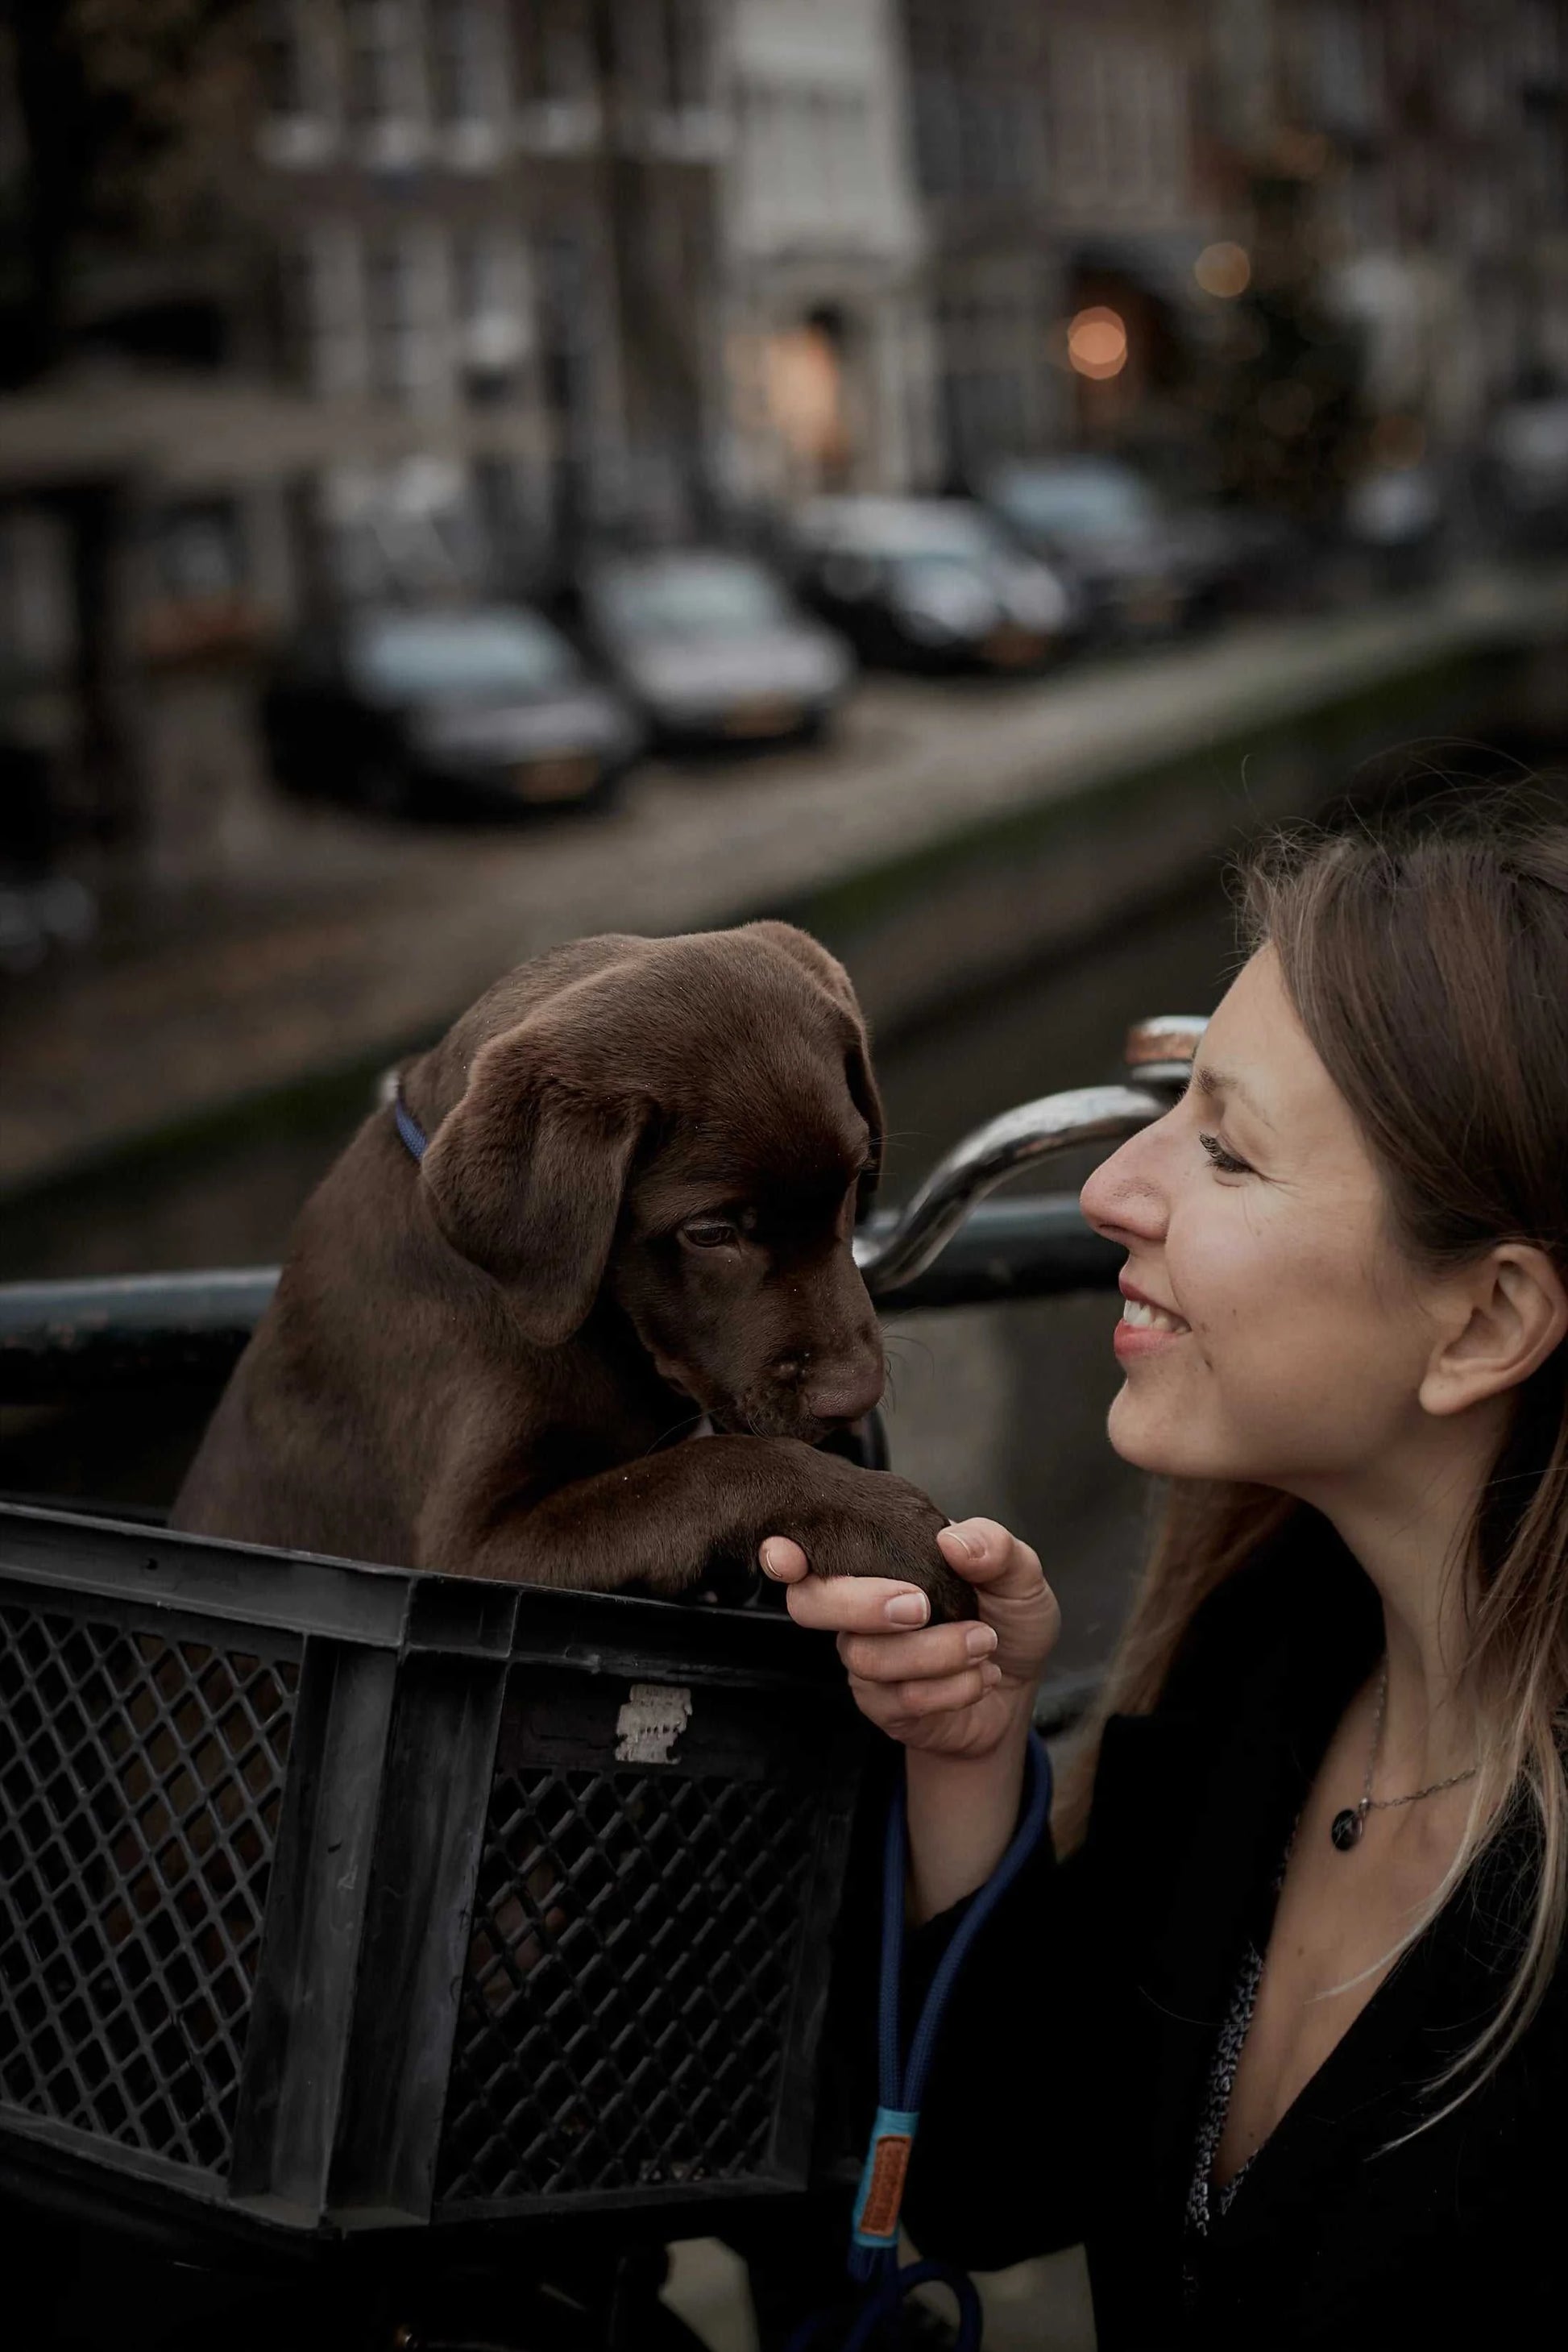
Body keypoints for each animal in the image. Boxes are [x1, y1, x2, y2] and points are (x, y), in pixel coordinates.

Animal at [177, 917, 973, 1618]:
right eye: (710, 1232)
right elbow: (701, 1470)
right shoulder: (469, 1550)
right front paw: (885, 1522)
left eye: (856, 1182)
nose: (855, 1396)